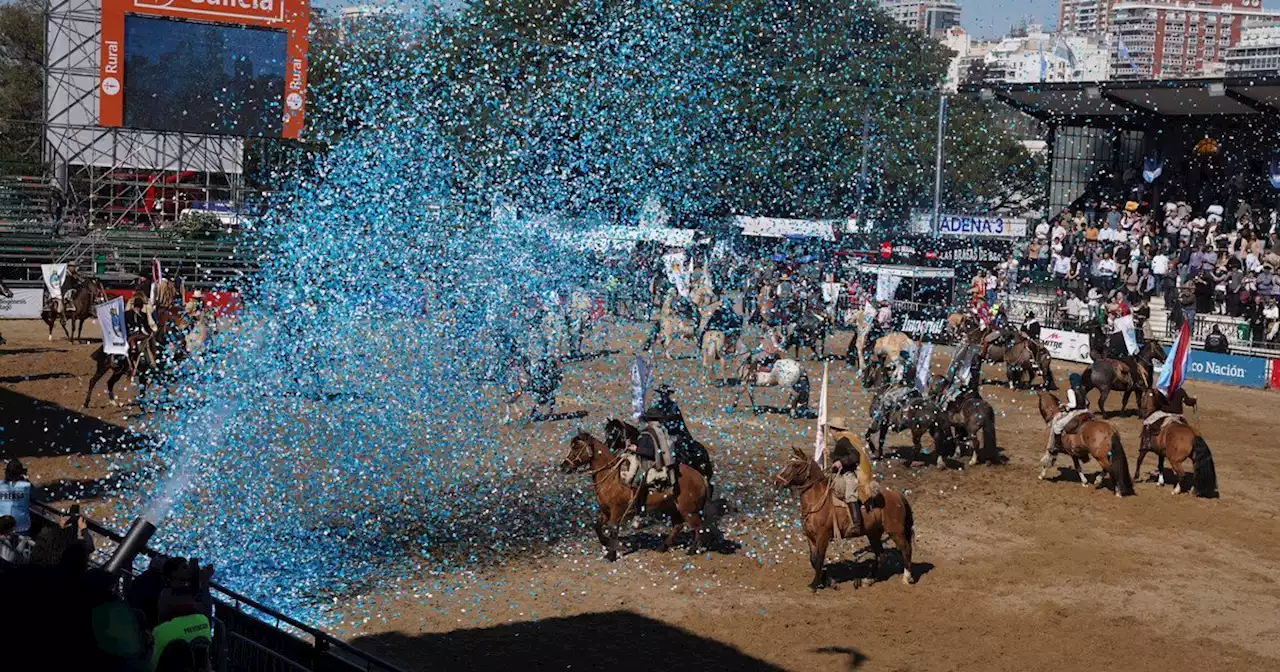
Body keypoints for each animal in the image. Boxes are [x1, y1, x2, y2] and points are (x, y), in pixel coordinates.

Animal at [563, 430, 716, 560]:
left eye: (576, 447)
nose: (563, 466)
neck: (612, 477)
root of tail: (701, 477)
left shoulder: (617, 511)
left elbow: (613, 530)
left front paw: (612, 554)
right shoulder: (605, 510)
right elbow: (597, 527)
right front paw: (610, 544)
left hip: (689, 511)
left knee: (699, 528)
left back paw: (692, 550)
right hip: (674, 508)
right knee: (678, 526)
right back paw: (662, 547)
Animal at [773, 448, 916, 588]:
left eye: (796, 465)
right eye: (787, 462)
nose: (777, 481)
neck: (817, 500)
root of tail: (897, 495)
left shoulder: (823, 536)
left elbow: (819, 559)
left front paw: (815, 584)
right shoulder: (810, 536)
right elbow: (813, 559)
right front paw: (828, 580)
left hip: (895, 532)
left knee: (906, 550)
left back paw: (906, 578)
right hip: (873, 534)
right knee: (880, 556)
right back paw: (868, 580)